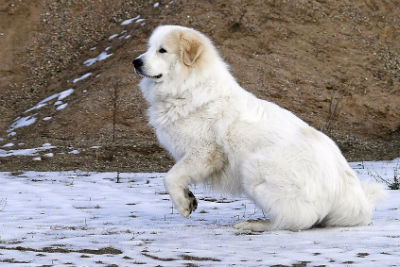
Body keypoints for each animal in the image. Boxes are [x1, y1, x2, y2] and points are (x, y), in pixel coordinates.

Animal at [133, 25, 386, 231]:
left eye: (162, 50)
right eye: (149, 48)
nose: (136, 61)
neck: (189, 88)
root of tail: (351, 194)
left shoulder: (204, 152)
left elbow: (170, 177)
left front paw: (184, 203)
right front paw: (189, 198)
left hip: (253, 167)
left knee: (298, 220)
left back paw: (256, 224)